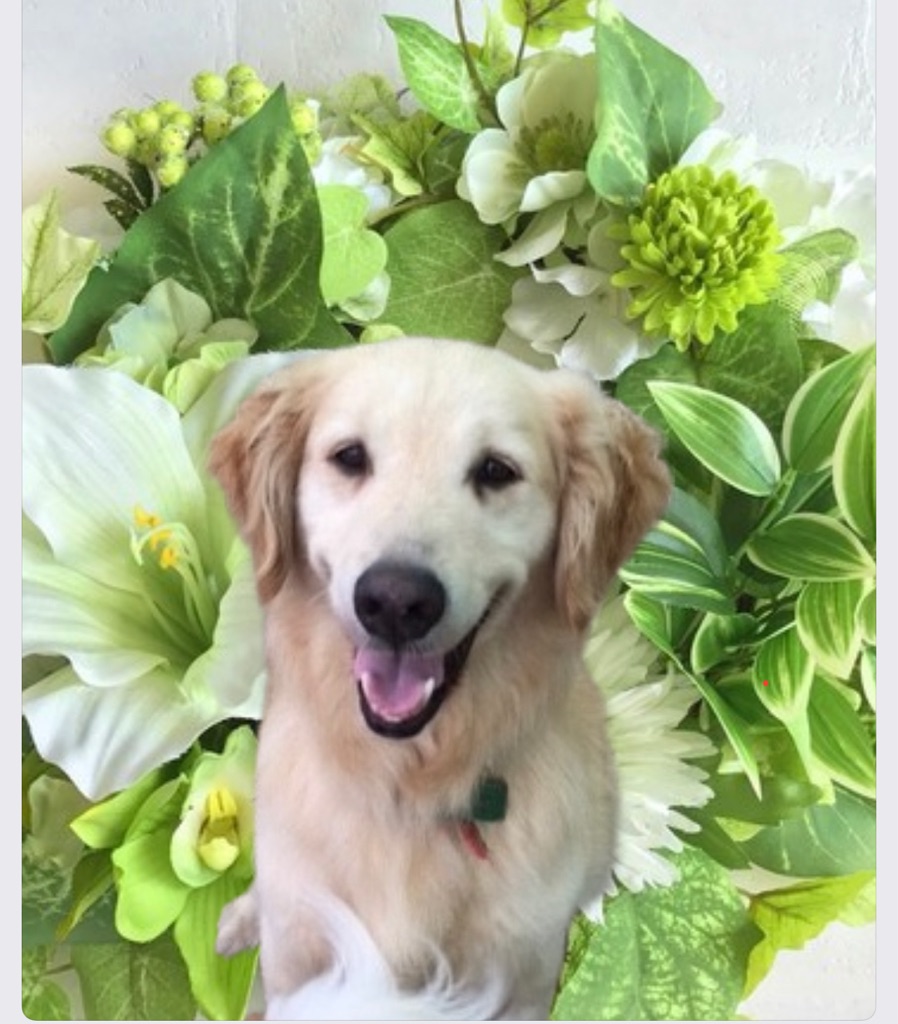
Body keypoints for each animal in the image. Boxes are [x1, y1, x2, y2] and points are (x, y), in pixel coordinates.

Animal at [209, 336, 671, 1019]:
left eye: (496, 471)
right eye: (350, 457)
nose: (395, 602)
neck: (408, 785)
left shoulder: (522, 980)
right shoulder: (300, 957)